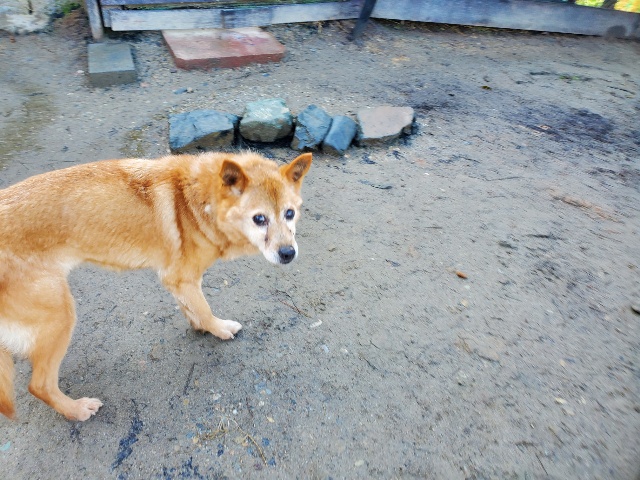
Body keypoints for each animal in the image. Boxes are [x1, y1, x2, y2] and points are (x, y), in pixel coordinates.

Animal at [0, 151, 312, 421]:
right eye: (259, 219)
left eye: (290, 213)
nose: (288, 253)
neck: (198, 198)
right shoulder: (181, 277)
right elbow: (205, 309)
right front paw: (218, 329)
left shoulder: (179, 281)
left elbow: (192, 308)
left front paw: (199, 326)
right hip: (60, 316)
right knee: (40, 386)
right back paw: (77, 410)